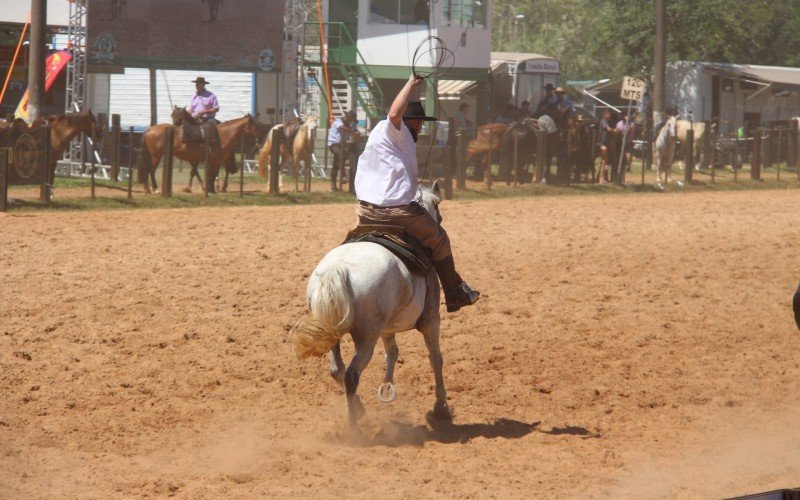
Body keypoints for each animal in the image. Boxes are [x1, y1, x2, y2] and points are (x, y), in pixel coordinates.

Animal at [290, 182, 450, 428]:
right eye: (438, 209)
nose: (439, 220)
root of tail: (338, 269)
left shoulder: (387, 326)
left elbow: (392, 351)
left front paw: (387, 386)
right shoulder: (431, 321)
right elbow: (436, 359)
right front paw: (441, 407)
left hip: (333, 331)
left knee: (337, 370)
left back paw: (359, 409)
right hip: (367, 336)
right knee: (351, 374)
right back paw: (354, 427)